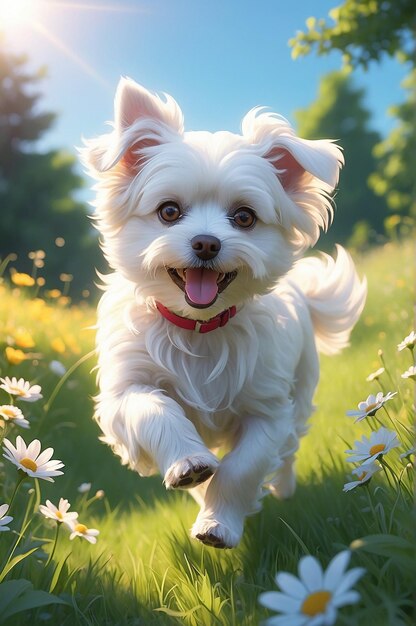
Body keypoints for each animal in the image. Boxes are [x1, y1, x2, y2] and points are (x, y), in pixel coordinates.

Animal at [80, 79, 364, 544]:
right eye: (169, 211)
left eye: (244, 217)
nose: (206, 242)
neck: (199, 328)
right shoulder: (126, 390)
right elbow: (155, 411)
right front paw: (189, 466)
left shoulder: (267, 410)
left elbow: (242, 468)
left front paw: (218, 524)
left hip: (301, 389)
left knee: (289, 447)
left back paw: (284, 488)